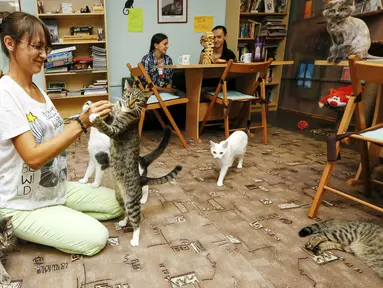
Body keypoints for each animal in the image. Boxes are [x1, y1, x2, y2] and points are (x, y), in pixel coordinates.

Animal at [86, 82, 182, 246]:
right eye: (128, 95)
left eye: (137, 100)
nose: (130, 103)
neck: (125, 111)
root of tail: (139, 179)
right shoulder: (114, 118)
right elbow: (109, 117)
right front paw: (91, 107)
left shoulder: (116, 130)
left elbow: (106, 127)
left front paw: (94, 116)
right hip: (120, 198)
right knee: (126, 213)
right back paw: (124, 222)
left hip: (131, 200)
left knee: (137, 220)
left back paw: (135, 239)